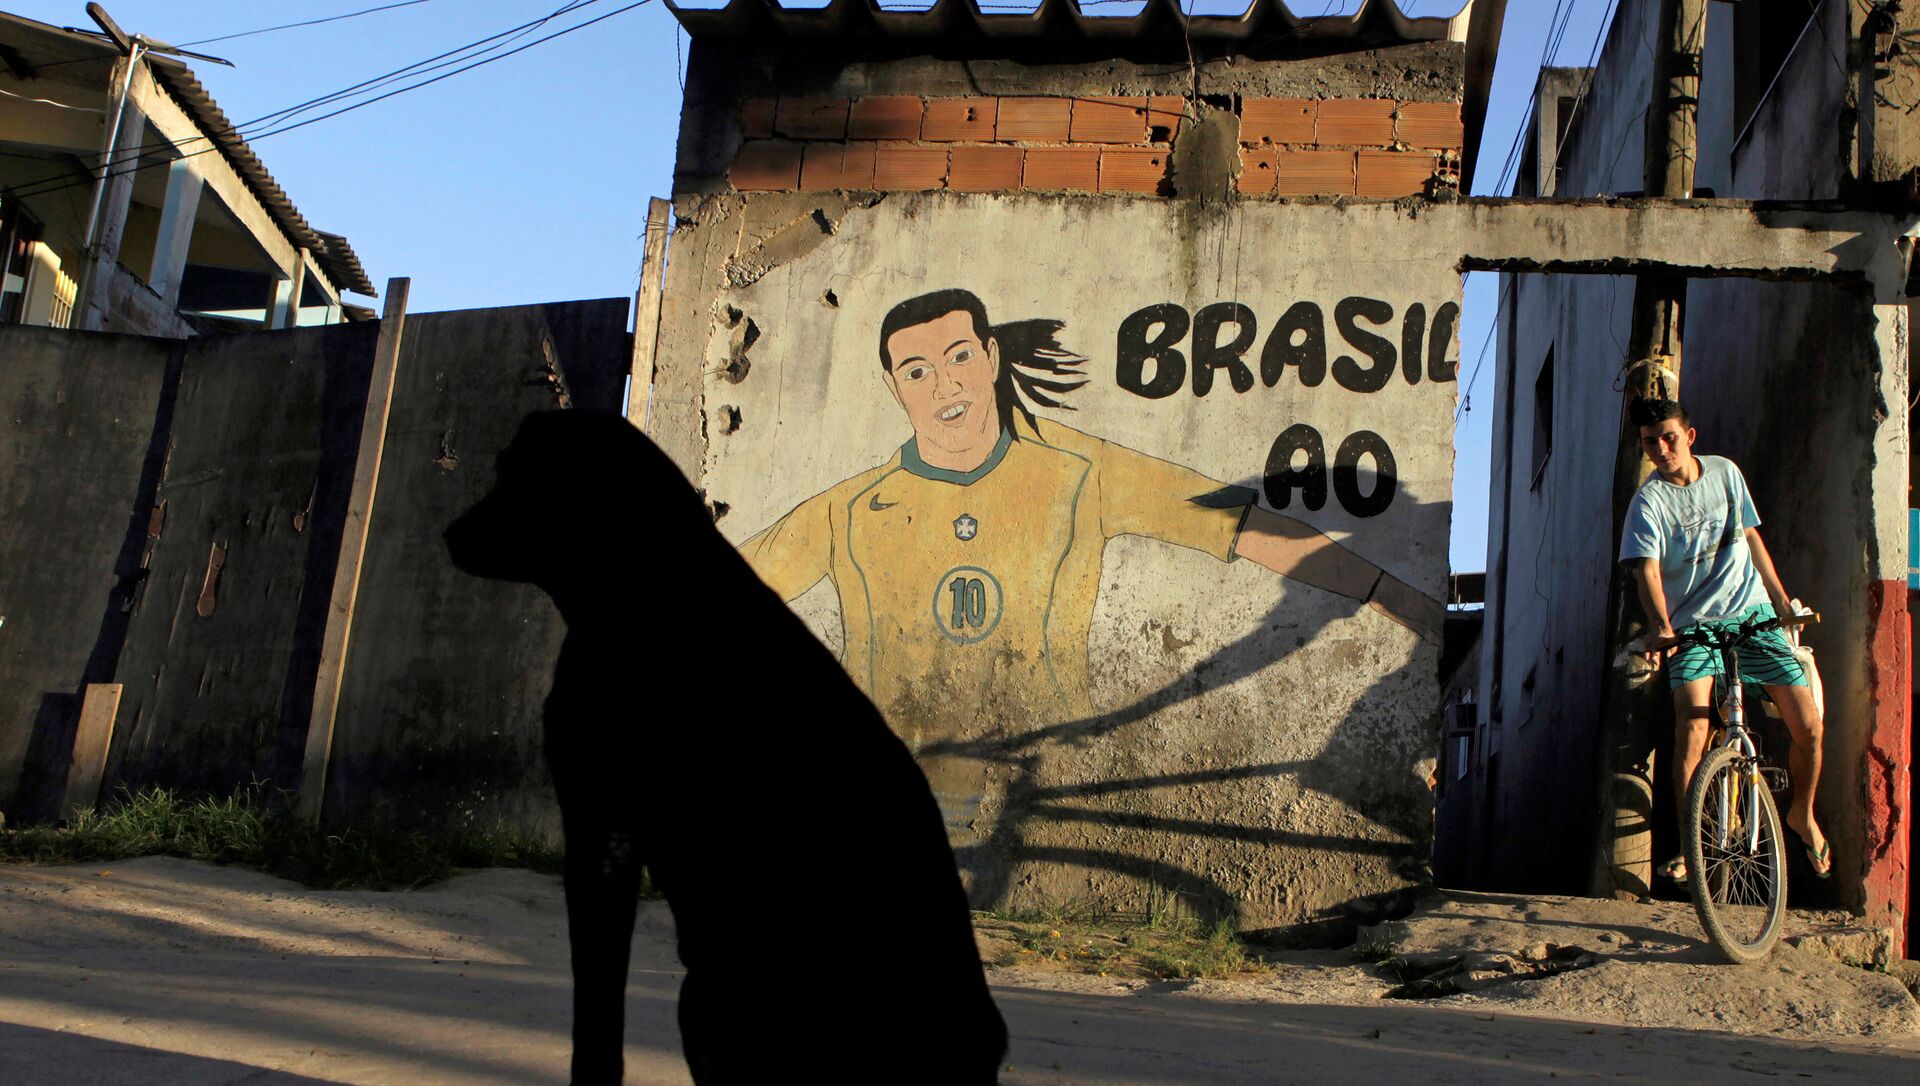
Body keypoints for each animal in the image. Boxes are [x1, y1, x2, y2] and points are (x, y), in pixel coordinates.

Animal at [445, 409, 1006, 1084]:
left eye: (514, 472)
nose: (447, 534)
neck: (648, 587)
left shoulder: (601, 832)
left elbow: (597, 1021)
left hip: (710, 999)